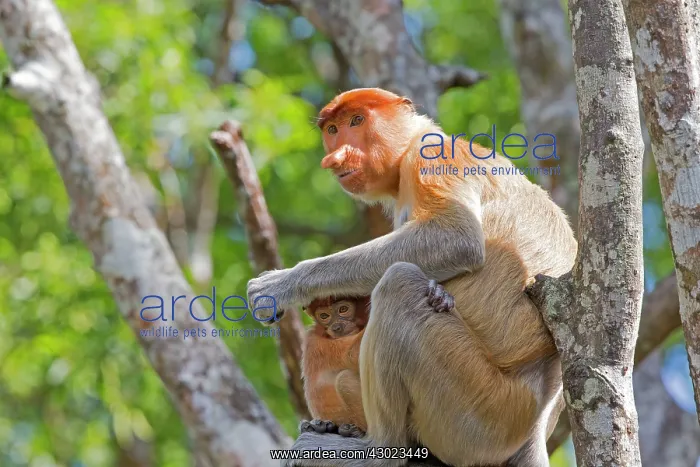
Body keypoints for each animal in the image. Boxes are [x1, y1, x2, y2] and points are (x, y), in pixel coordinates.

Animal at [247, 88, 578, 466]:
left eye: (357, 121)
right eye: (332, 129)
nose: (335, 157)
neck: (408, 147)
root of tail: (536, 424)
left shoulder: (432, 158)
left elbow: (456, 238)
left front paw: (278, 285)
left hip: (481, 412)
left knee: (399, 285)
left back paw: (374, 449)